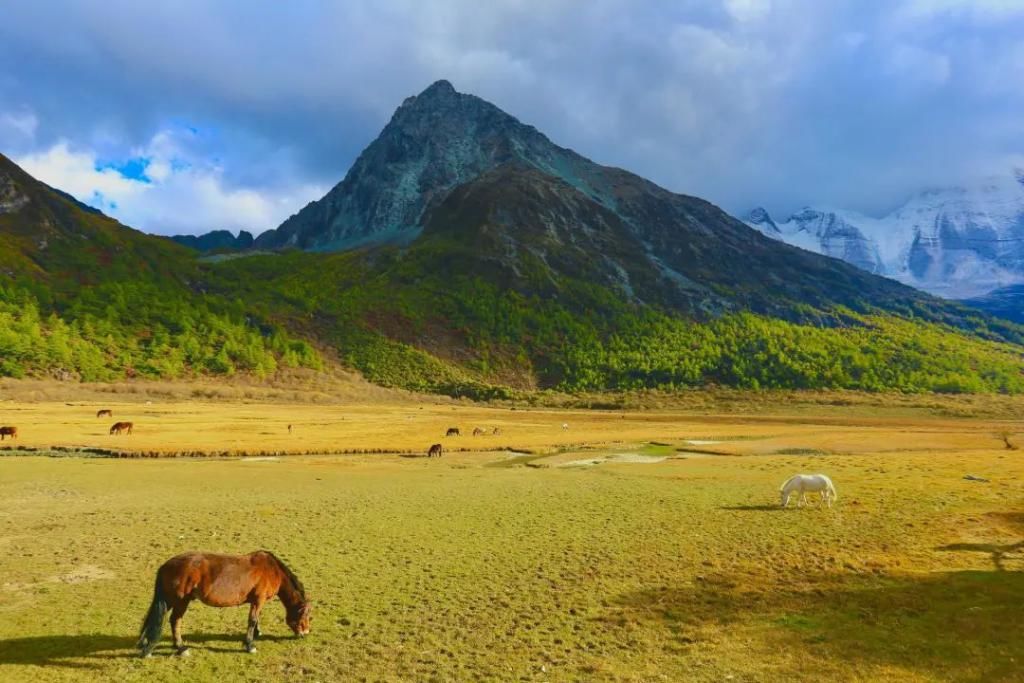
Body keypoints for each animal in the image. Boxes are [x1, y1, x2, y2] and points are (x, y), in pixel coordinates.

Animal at [138, 548, 311, 655]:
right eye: (306, 617)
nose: (305, 634)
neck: (272, 569)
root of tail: (166, 565)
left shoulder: (256, 602)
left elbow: (256, 619)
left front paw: (257, 633)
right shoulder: (259, 600)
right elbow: (252, 620)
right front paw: (250, 645)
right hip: (180, 601)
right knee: (175, 620)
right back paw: (180, 648)